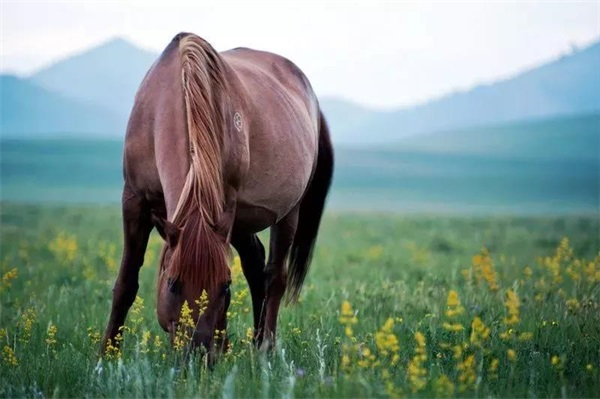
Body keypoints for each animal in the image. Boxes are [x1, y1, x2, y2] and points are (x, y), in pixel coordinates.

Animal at [99, 32, 332, 360]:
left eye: (224, 286)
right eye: (173, 284)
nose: (197, 354)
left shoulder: (226, 203)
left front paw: (222, 348)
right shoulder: (133, 200)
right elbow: (126, 282)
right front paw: (107, 353)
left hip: (288, 213)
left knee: (275, 275)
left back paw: (265, 348)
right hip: (242, 223)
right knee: (255, 264)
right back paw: (255, 342)